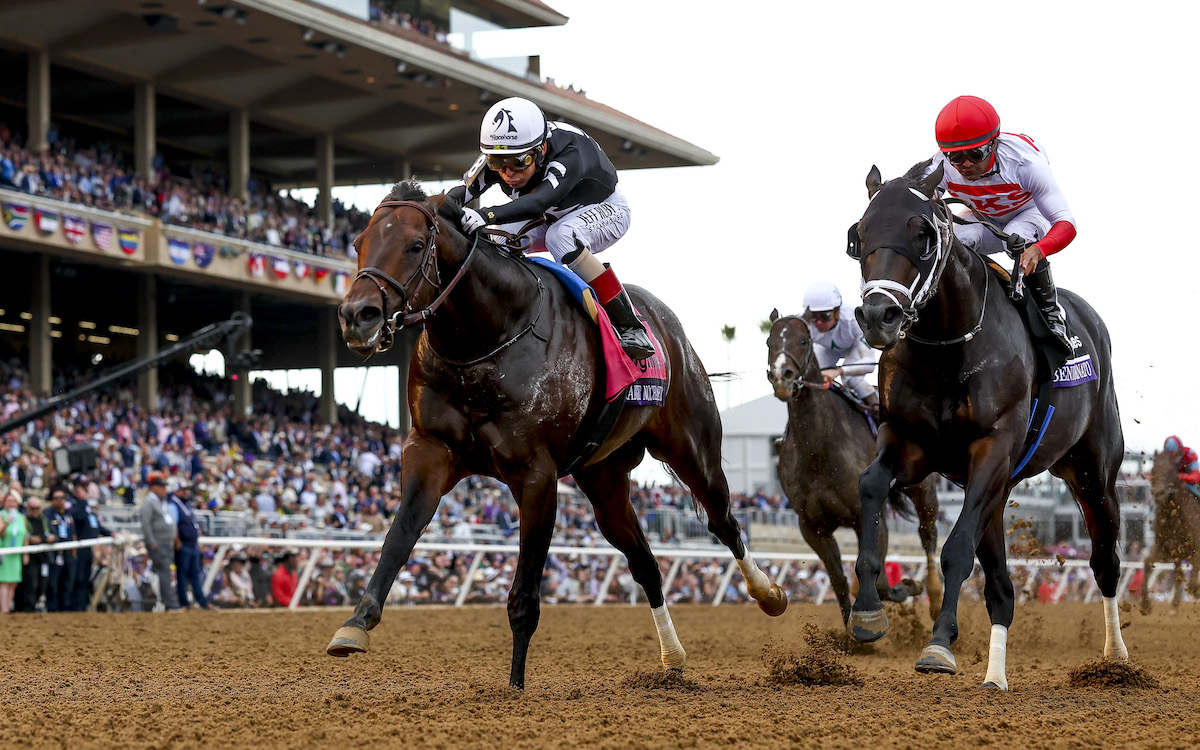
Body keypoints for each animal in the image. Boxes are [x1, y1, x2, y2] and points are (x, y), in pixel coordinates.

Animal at [328, 182, 787, 691]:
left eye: (413, 245)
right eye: (358, 243)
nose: (358, 315)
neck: (489, 337)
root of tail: (670, 329)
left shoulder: (536, 474)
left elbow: (525, 591)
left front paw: (515, 685)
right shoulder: (430, 450)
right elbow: (398, 537)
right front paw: (355, 625)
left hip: (693, 448)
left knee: (724, 521)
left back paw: (769, 594)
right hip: (604, 481)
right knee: (645, 563)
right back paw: (672, 658)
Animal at [763, 307, 940, 624]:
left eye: (804, 341)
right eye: (769, 342)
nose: (782, 377)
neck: (819, 448)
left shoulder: (867, 515)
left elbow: (880, 582)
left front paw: (909, 585)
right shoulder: (812, 527)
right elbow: (839, 582)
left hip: (923, 488)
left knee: (928, 532)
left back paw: (935, 595)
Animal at [849, 160, 1128, 686]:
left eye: (922, 235)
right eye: (859, 234)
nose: (879, 316)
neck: (948, 346)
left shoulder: (992, 449)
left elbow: (956, 548)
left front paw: (939, 645)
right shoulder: (909, 442)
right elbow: (871, 484)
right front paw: (867, 610)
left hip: (1091, 473)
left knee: (1105, 561)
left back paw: (1116, 660)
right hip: (1000, 492)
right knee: (1001, 588)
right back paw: (995, 678)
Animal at [1137, 446, 1200, 612]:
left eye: (1171, 470)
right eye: (1153, 468)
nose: (1158, 492)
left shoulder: (1196, 549)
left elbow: (1193, 580)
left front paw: (1196, 591)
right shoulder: (1166, 548)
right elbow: (1147, 563)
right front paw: (1145, 604)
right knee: (1178, 572)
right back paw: (1174, 605)